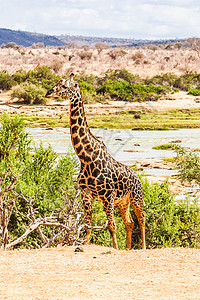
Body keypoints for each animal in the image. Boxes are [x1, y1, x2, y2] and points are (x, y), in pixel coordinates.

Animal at [46, 75, 146, 251]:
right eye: (57, 83)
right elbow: (87, 225)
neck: (85, 158)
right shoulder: (86, 194)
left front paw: (115, 248)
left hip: (136, 197)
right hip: (123, 202)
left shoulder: (107, 196)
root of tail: (138, 177)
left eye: (65, 86)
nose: (48, 93)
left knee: (142, 219)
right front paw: (82, 246)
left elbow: (112, 226)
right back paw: (128, 248)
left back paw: (143, 248)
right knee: (129, 222)